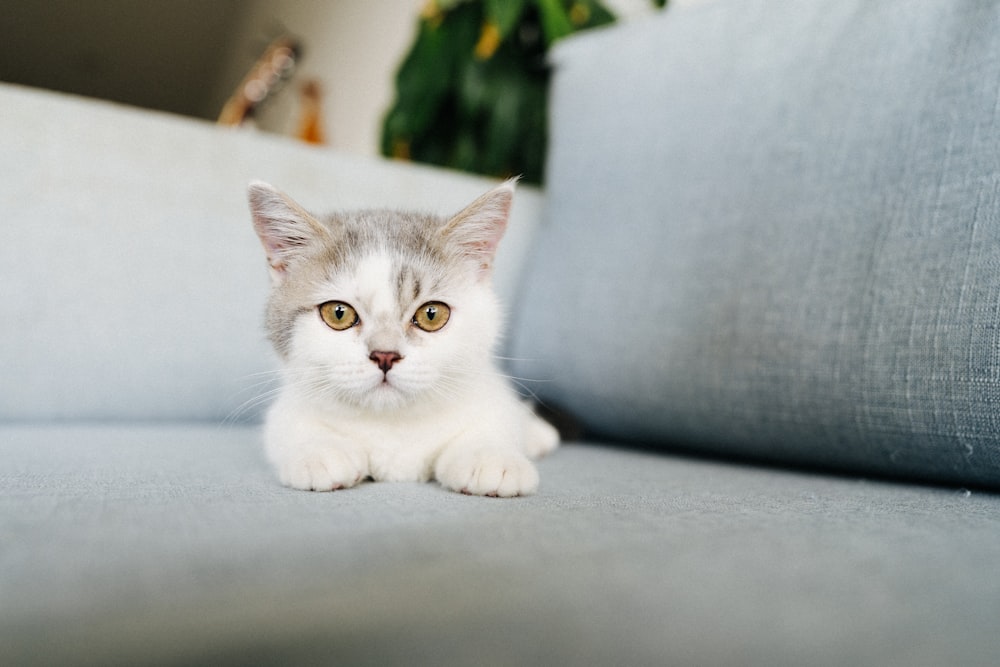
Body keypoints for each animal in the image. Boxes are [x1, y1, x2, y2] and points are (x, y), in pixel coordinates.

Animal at [247, 177, 560, 496]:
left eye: (431, 315)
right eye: (338, 313)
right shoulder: (287, 407)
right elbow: (291, 426)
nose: (385, 355)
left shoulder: (488, 393)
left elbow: (495, 420)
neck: (393, 426)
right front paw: (319, 451)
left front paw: (488, 457)